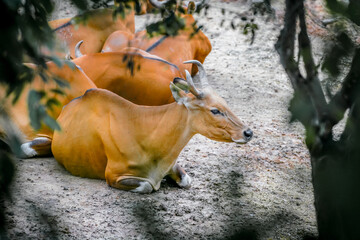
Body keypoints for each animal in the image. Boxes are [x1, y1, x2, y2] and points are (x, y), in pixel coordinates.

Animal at [51, 61, 253, 194]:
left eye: (225, 103)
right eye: (215, 110)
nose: (248, 132)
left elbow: (186, 180)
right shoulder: (113, 176)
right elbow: (148, 185)